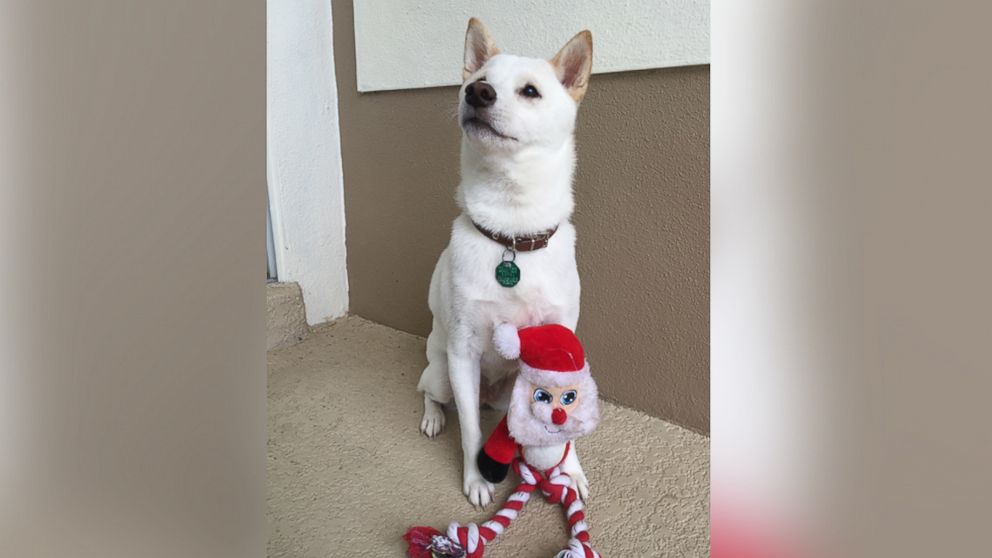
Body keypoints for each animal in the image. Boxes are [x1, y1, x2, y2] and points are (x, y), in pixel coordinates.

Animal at [414, 17, 592, 510]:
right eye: (477, 80)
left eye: (530, 91)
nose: (477, 93)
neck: (512, 235)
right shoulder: (463, 354)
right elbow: (472, 431)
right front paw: (477, 478)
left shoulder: (562, 346)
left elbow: (568, 416)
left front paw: (569, 469)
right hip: (443, 373)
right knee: (432, 394)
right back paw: (434, 417)